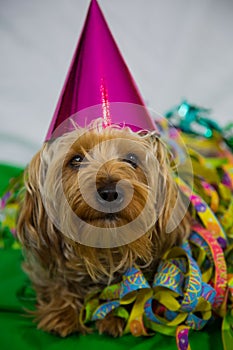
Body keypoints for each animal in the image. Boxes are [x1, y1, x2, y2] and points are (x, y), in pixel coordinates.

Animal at [17, 121, 190, 338]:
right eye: (76, 159)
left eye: (131, 159)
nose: (109, 192)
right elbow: (57, 280)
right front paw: (63, 313)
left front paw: (114, 315)